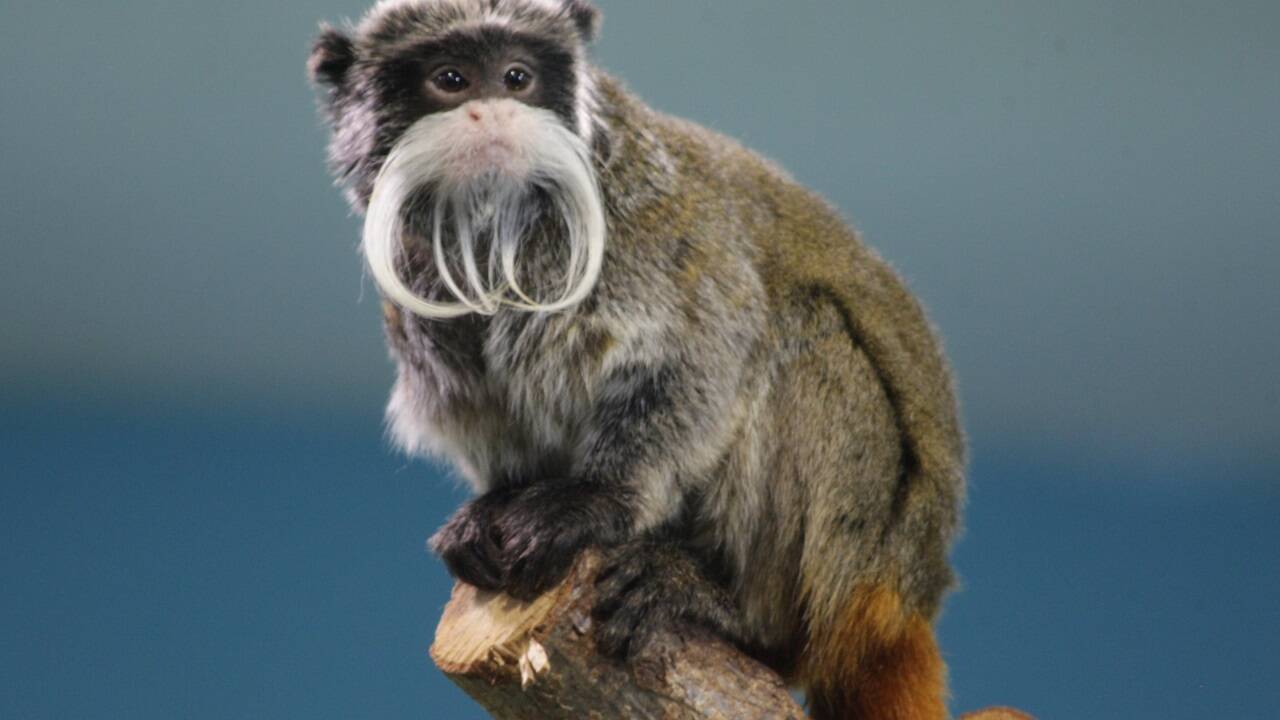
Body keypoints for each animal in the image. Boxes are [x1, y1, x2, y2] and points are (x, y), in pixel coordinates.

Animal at [309, 2, 962, 712]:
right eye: (450, 80)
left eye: (517, 77)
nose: (494, 112)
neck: (494, 226)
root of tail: (908, 595)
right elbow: (484, 404)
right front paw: (494, 507)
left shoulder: (641, 225)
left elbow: (705, 353)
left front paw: (595, 500)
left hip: (858, 559)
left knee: (804, 328)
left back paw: (733, 609)